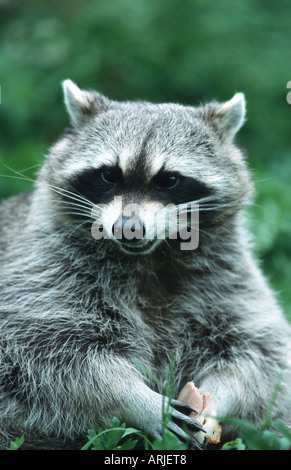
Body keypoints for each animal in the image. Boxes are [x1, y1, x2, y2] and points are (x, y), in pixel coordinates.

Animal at [0, 80, 291, 448]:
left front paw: (218, 400)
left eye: (169, 180)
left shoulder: (230, 275)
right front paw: (132, 397)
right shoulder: (39, 271)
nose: (128, 228)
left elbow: (259, 353)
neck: (148, 258)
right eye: (108, 175)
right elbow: (47, 353)